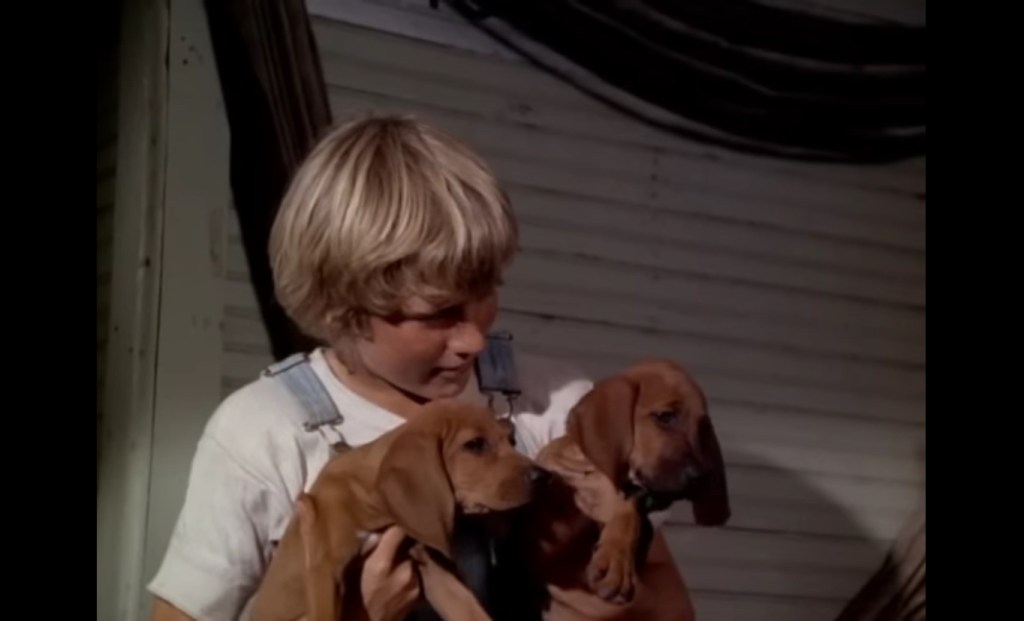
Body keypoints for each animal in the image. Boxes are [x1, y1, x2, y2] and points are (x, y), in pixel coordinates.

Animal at [247, 399, 544, 621]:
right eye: (475, 445)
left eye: (511, 441)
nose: (543, 477)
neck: (371, 502)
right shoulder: (323, 569)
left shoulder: (428, 564)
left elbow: (468, 609)